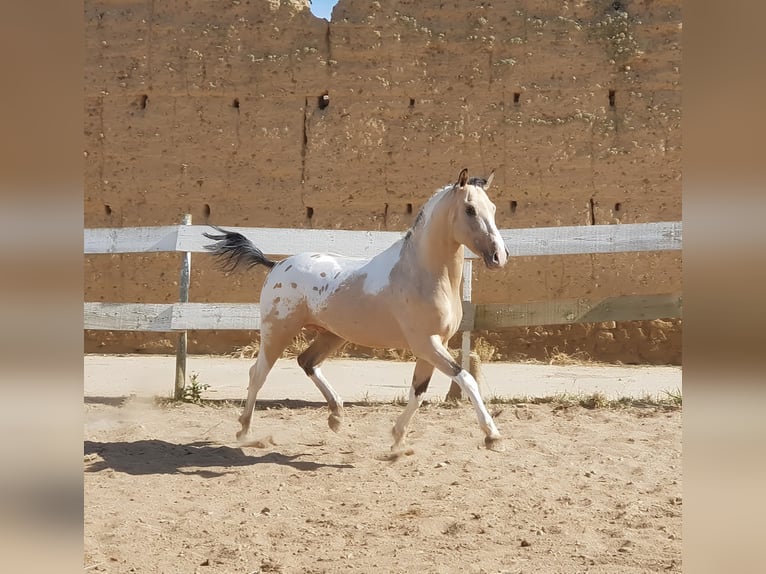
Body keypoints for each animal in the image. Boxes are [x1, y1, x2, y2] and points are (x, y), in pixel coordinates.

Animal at [203, 168, 510, 451]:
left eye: (493, 209)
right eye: (470, 209)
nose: (499, 256)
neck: (422, 274)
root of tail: (277, 264)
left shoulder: (436, 344)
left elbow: (418, 391)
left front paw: (397, 439)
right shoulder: (425, 343)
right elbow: (466, 379)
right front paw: (492, 435)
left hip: (331, 335)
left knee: (307, 362)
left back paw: (336, 416)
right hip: (277, 331)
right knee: (258, 374)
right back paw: (245, 431)